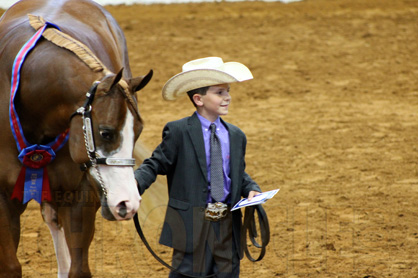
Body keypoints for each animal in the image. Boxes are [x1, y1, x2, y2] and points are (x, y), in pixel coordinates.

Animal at [0, 1, 152, 276]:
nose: (129, 203)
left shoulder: (79, 196)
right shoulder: (3, 200)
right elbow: (10, 266)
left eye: (138, 133)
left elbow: (78, 268)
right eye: (105, 132)